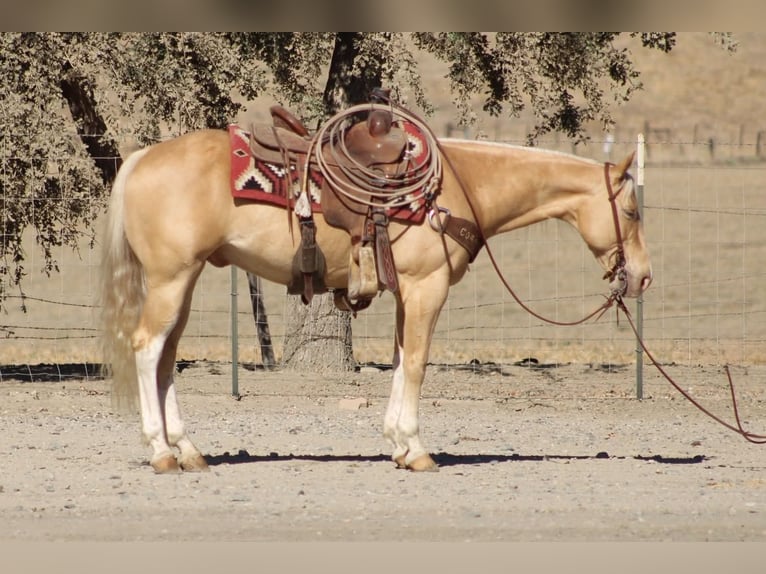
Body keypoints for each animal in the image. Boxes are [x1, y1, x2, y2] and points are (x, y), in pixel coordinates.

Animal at [100, 125, 652, 473]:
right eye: (630, 210)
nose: (643, 277)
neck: (455, 190)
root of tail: (141, 158)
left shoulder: (409, 291)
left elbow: (401, 359)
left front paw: (398, 445)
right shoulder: (427, 286)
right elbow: (418, 364)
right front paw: (417, 448)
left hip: (183, 282)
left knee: (166, 357)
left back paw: (189, 450)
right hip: (171, 279)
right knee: (147, 349)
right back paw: (161, 453)